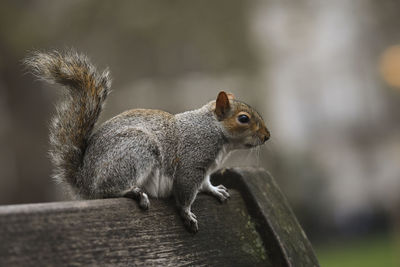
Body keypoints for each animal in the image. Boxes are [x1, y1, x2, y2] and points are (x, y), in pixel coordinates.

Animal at [24, 50, 268, 234]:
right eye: (243, 119)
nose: (267, 136)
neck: (213, 130)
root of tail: (84, 180)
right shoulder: (192, 161)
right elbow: (185, 192)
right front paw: (187, 214)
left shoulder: (205, 170)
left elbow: (205, 183)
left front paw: (216, 190)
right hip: (137, 150)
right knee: (106, 190)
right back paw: (133, 192)